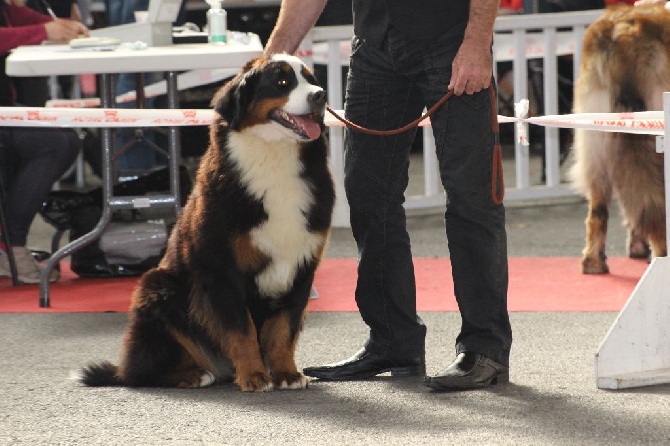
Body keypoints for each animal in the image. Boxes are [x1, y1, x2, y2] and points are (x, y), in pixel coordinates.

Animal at [78, 54, 336, 392]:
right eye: (282, 81)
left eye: (311, 78)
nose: (320, 95)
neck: (275, 159)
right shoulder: (222, 270)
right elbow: (241, 330)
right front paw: (254, 376)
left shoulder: (301, 267)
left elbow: (283, 330)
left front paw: (286, 373)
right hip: (158, 287)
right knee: (141, 372)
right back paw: (192, 374)